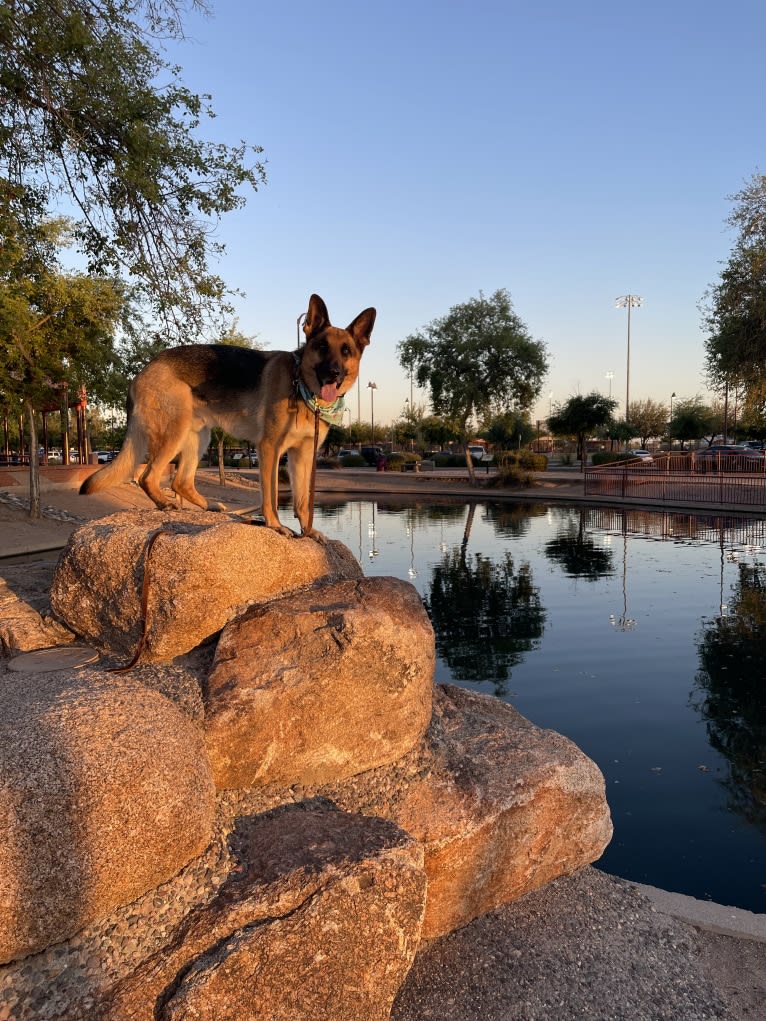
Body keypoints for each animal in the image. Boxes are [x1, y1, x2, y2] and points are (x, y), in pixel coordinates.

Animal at [80, 294, 375, 539]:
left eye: (346, 351)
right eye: (322, 347)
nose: (333, 373)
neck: (301, 386)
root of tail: (144, 370)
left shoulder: (302, 455)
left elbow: (303, 501)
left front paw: (309, 531)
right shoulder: (269, 448)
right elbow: (271, 495)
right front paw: (275, 525)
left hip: (199, 436)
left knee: (180, 481)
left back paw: (209, 505)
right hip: (175, 431)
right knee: (148, 477)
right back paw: (165, 503)